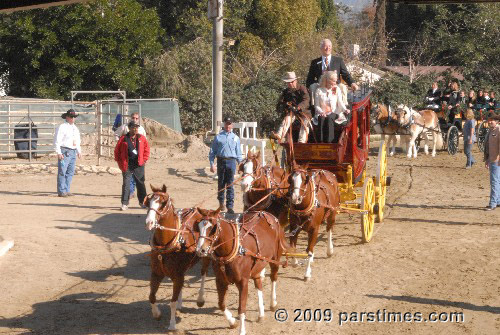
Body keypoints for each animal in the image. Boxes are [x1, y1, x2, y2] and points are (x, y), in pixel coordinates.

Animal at [144, 185, 210, 332]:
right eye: (148, 201)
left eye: (162, 202)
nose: (149, 222)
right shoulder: (156, 273)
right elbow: (151, 296)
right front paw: (156, 314)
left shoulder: (177, 275)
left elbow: (172, 302)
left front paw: (172, 324)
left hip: (205, 255)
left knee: (203, 274)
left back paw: (200, 298)